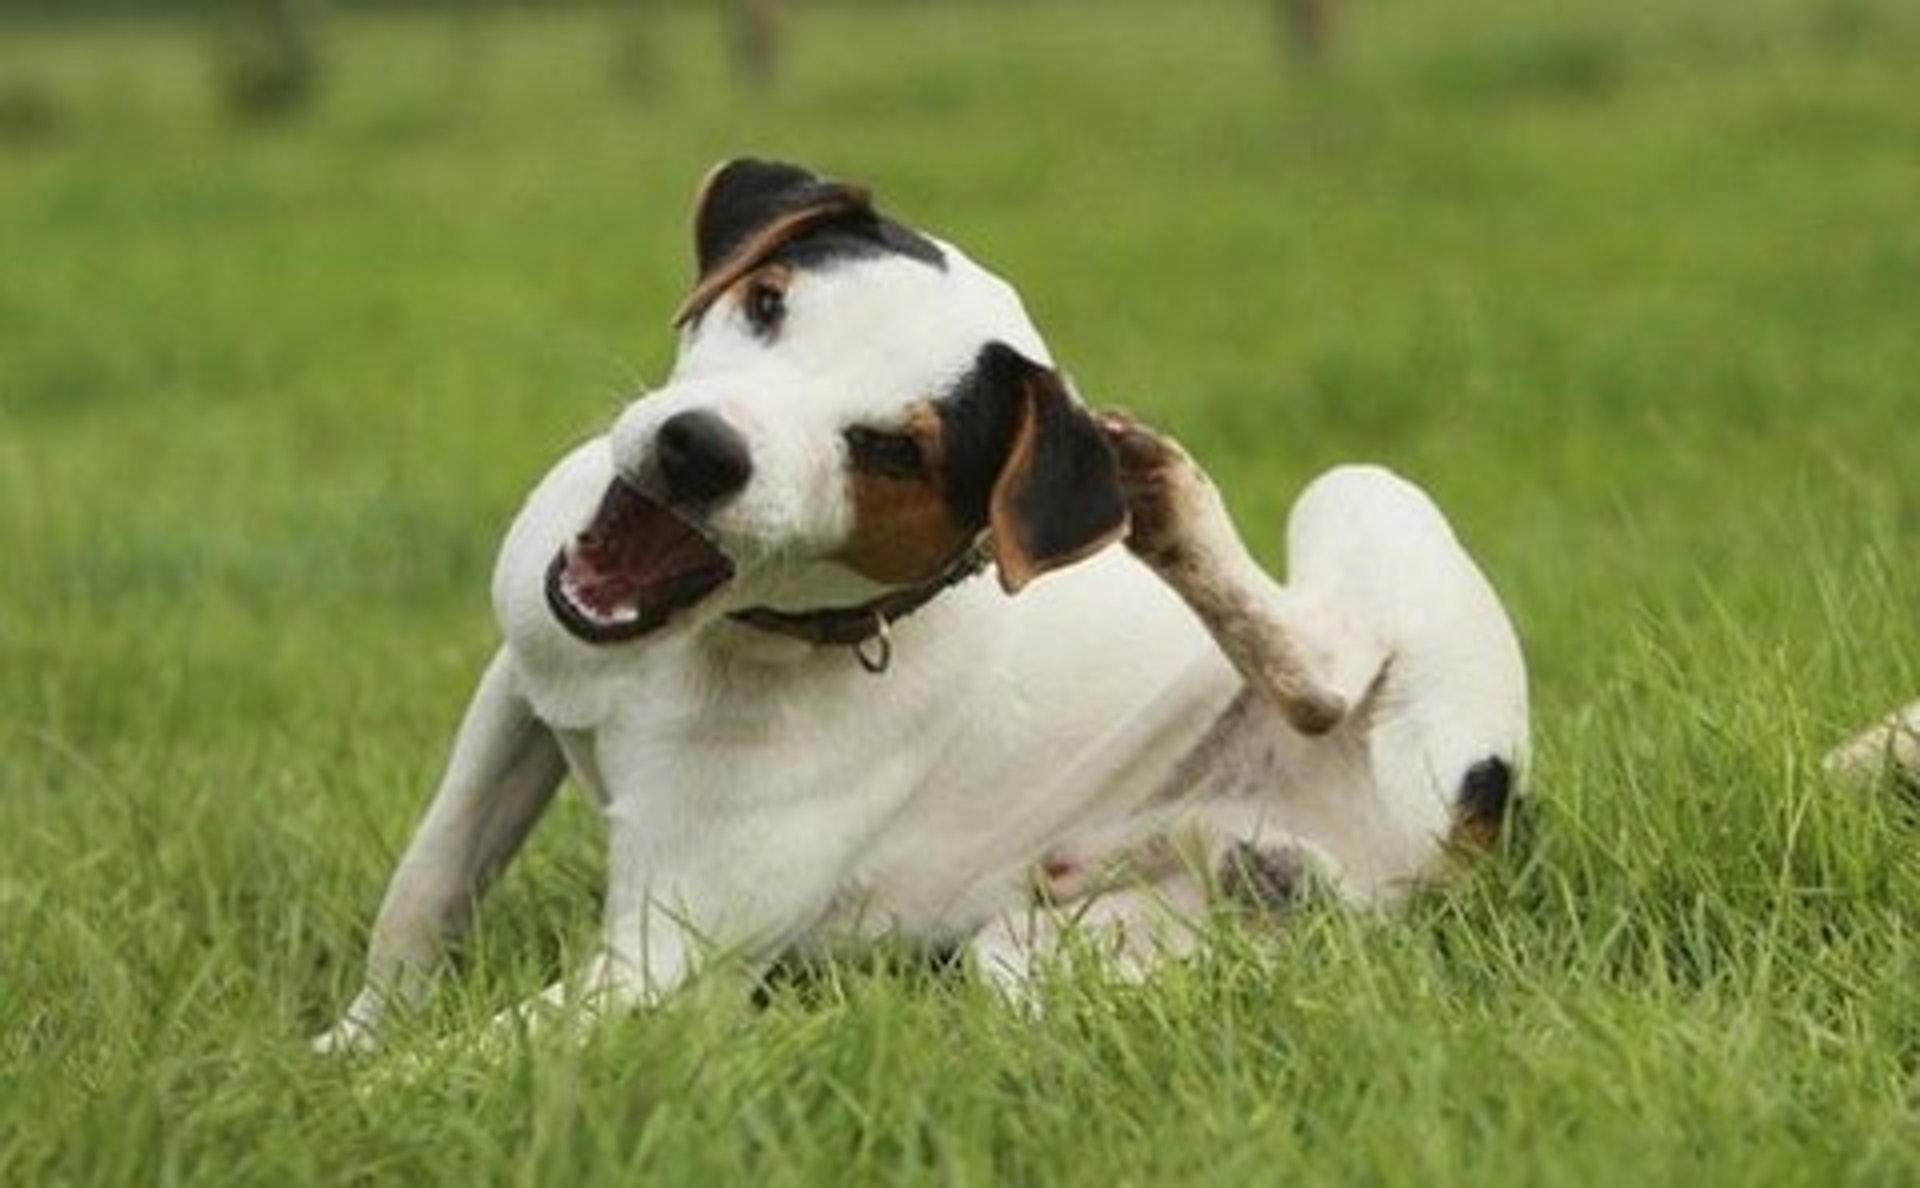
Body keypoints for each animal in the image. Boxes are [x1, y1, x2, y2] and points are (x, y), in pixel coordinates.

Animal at [322, 160, 1536, 1059]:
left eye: (894, 451)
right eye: (767, 301)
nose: (699, 449)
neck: (695, 645)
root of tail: (1479, 844)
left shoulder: (662, 968)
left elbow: (466, 1057)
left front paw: (341, 1092)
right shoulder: (521, 686)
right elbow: (427, 884)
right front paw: (358, 1032)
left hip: (1369, 506)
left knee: (1324, 675)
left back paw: (1173, 505)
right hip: (1067, 947)